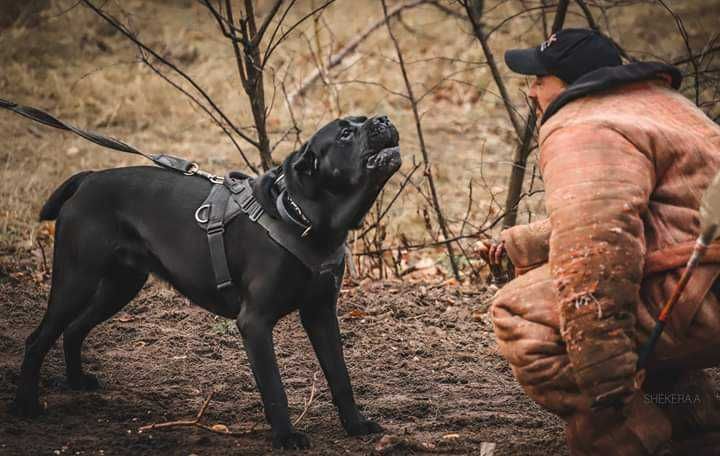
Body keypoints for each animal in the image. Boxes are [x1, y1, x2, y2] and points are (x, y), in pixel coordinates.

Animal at [14, 114, 402, 448]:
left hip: (119, 285)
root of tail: (89, 178)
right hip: (76, 279)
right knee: (37, 340)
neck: (303, 216)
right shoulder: (255, 322)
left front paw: (355, 425)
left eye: (363, 119)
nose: (384, 118)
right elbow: (275, 388)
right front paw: (285, 436)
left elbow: (340, 376)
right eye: (345, 134)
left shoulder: (321, 313)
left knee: (74, 329)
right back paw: (26, 406)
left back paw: (76, 383)